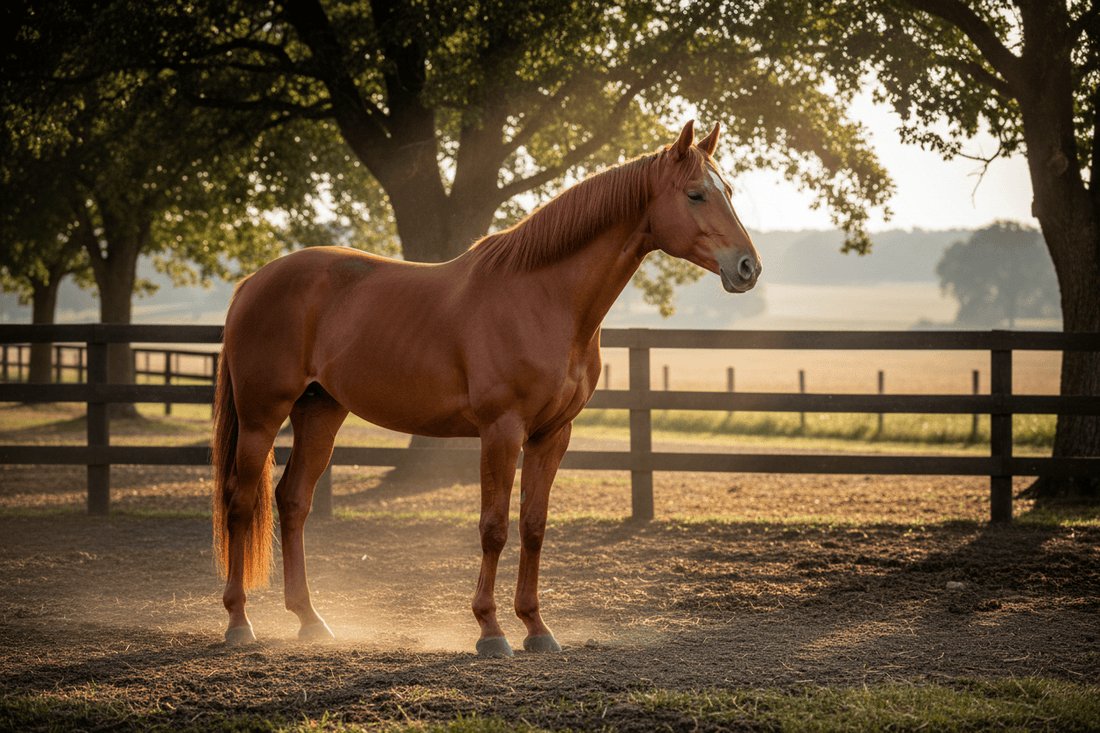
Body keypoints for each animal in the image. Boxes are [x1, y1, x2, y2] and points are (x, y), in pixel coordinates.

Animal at [211, 120, 761, 656]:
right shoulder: (502, 431)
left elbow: (533, 526)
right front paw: (490, 630)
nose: (748, 267)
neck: (543, 298)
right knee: (240, 501)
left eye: (730, 191)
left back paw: (310, 619)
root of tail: (253, 281)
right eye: (695, 194)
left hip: (320, 412)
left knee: (293, 501)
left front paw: (536, 628)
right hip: (262, 416)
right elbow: (493, 527)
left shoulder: (552, 435)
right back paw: (239, 622)